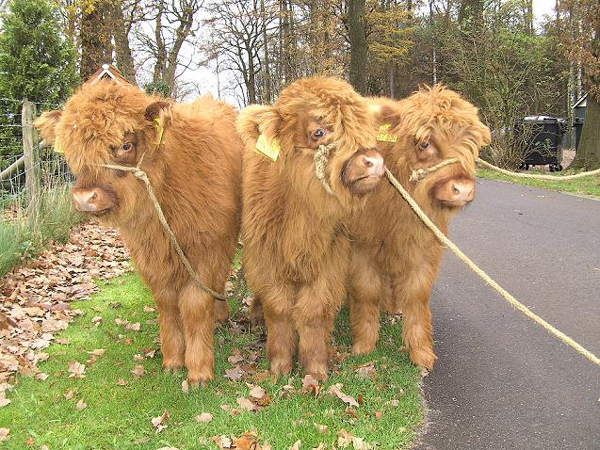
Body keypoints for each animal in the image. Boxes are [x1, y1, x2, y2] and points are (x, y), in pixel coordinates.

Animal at [34, 80, 241, 384]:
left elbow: (194, 305)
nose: (84, 197)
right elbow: (167, 304)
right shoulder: (151, 256)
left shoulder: (206, 250)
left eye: (125, 144)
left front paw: (199, 371)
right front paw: (172, 360)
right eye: (73, 151)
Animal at [238, 77, 384, 380]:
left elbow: (313, 312)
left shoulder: (328, 261)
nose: (374, 162)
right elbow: (279, 310)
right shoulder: (268, 259)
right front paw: (279, 366)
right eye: (319, 131)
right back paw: (256, 318)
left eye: (366, 129)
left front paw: (315, 368)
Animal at [350, 86, 490, 370]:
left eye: (473, 145)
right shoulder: (362, 247)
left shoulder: (424, 248)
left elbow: (417, 295)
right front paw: (364, 344)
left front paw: (421, 352)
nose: (462, 189)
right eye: (424, 143)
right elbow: (366, 292)